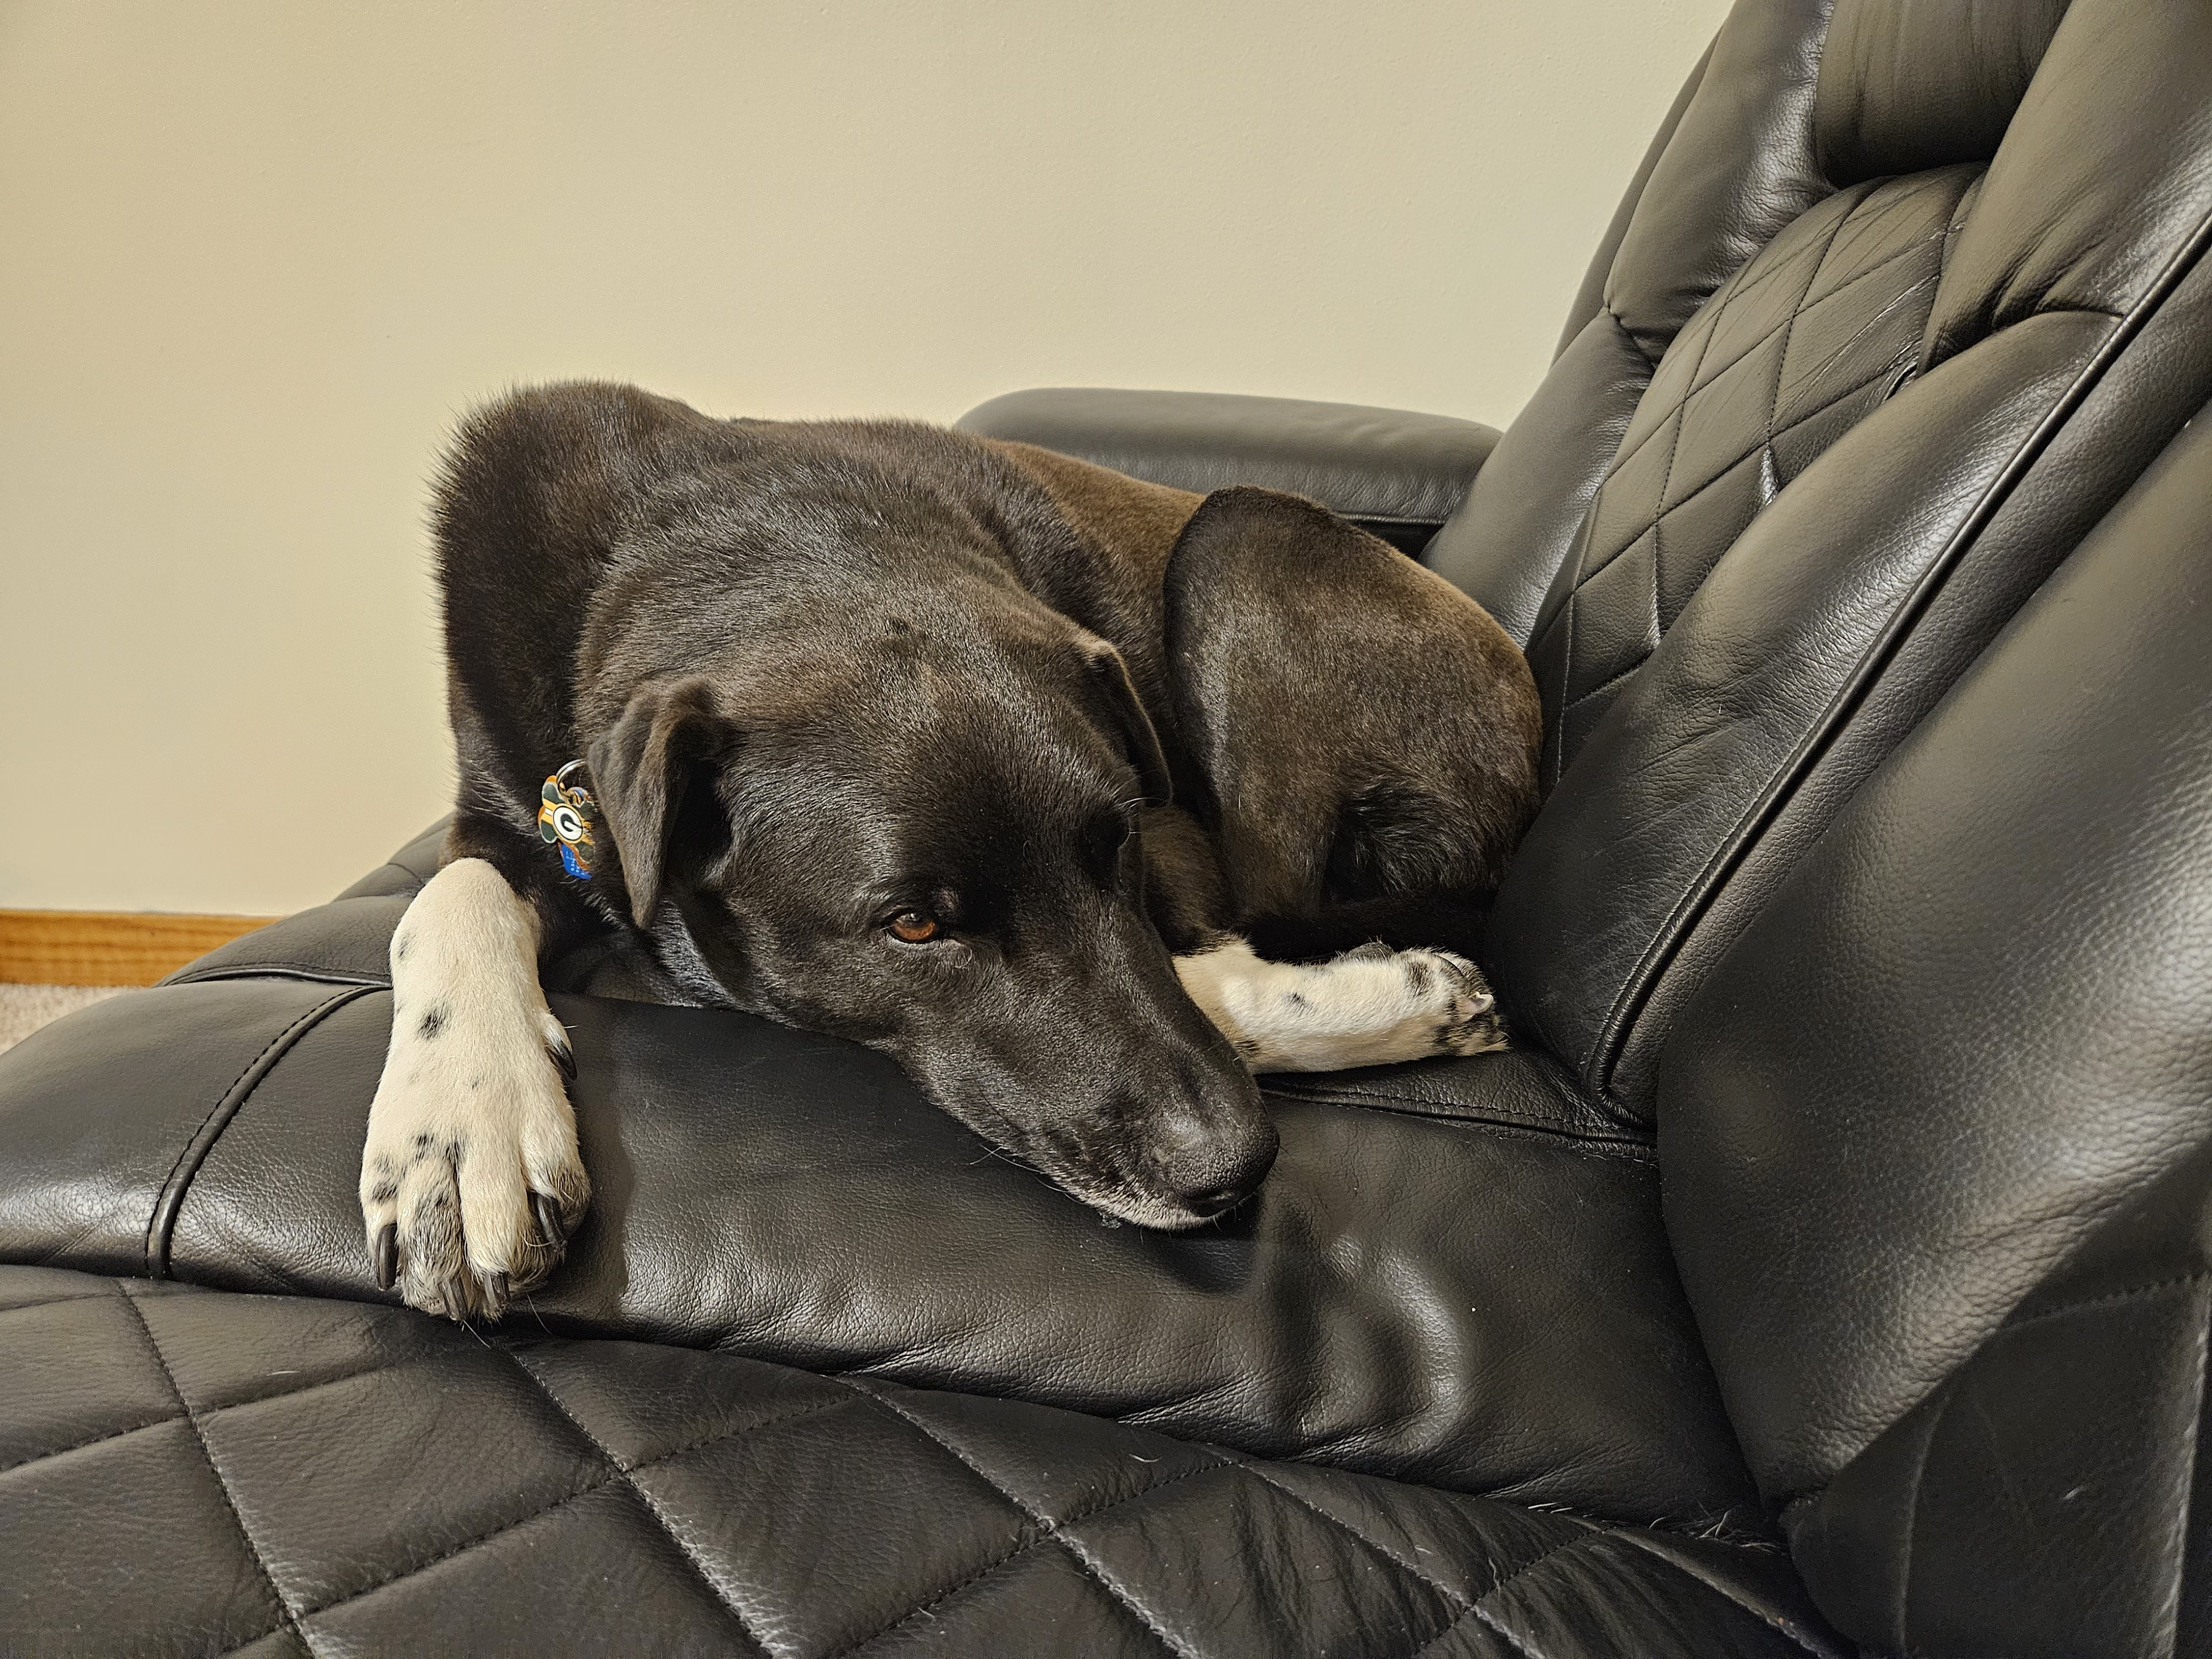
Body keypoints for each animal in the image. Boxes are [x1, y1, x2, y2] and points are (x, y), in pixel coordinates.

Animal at [363, 383, 1540, 1318]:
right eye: (914, 924)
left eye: (1115, 846)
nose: (1236, 1170)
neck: (735, 544)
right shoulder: (510, 816)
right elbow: (446, 895)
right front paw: (458, 1129)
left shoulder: (1173, 842)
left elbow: (1197, 967)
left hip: (1242, 538)